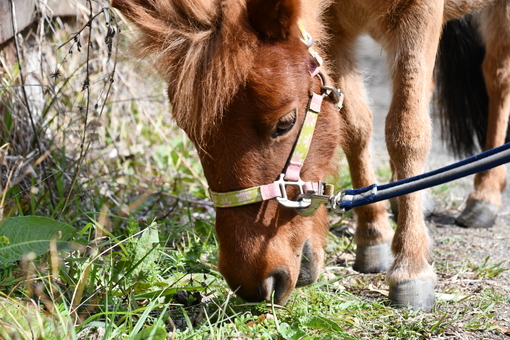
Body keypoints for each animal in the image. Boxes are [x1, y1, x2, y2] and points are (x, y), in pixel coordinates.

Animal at [113, 0, 510, 312]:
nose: (251, 281)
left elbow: (406, 132)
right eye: (191, 133)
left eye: (285, 122)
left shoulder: (419, 13)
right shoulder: (335, 28)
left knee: (497, 77)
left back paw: (485, 195)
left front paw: (410, 267)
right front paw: (373, 234)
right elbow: (355, 125)